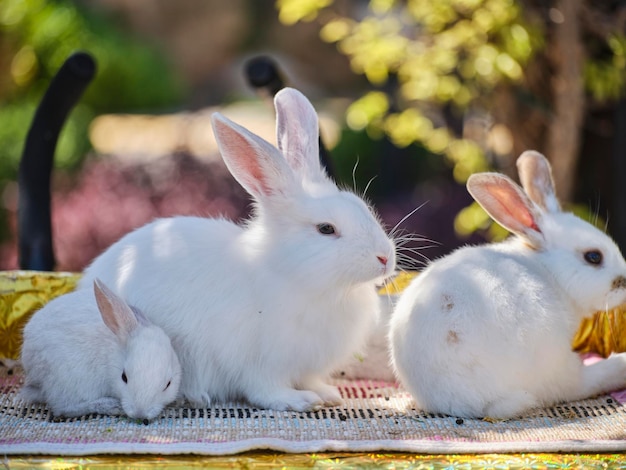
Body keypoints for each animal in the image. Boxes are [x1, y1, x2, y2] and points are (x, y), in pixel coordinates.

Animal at [20, 280, 180, 422]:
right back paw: (111, 406)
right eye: (124, 377)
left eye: (168, 384)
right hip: (71, 381)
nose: (139, 414)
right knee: (64, 408)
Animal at [79, 88, 394, 412]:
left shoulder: (304, 364)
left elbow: (309, 379)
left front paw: (327, 393)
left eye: (363, 207)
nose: (385, 257)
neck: (293, 275)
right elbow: (265, 390)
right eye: (326, 229)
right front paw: (299, 400)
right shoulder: (258, 361)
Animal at [390, 151, 626, 418]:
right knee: (580, 383)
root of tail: (464, 401)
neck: (549, 270)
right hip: (555, 361)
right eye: (594, 257)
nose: (624, 281)